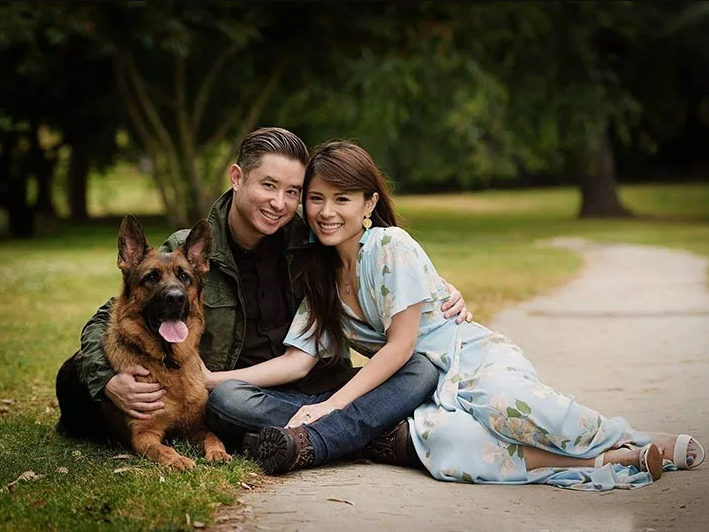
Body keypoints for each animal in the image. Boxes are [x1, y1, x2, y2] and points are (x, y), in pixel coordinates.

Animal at [105, 215, 230, 470]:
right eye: (151, 277)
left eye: (184, 277)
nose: (176, 298)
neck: (169, 362)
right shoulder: (144, 435)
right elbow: (163, 449)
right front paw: (178, 459)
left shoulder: (197, 426)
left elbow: (214, 436)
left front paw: (218, 452)